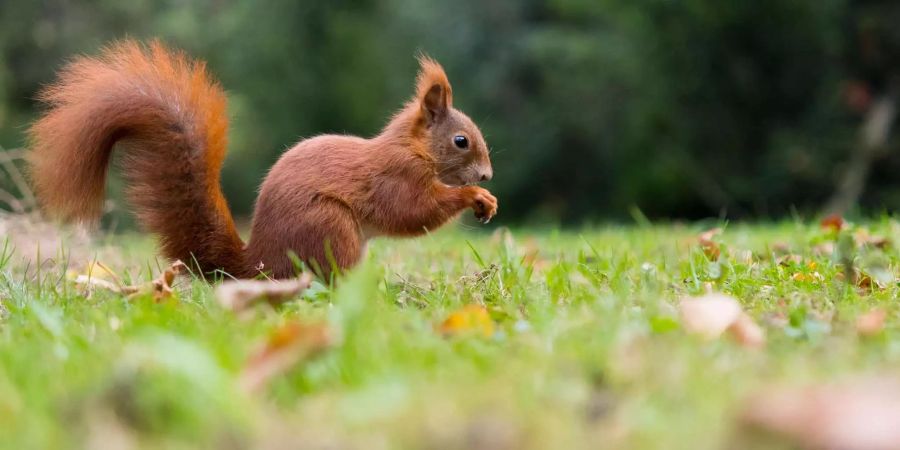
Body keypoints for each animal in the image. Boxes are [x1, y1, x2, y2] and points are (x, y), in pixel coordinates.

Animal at [28, 39, 496, 278]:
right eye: (461, 141)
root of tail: (258, 264)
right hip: (330, 228)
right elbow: (412, 212)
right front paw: (474, 198)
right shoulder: (396, 176)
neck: (412, 147)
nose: (488, 176)